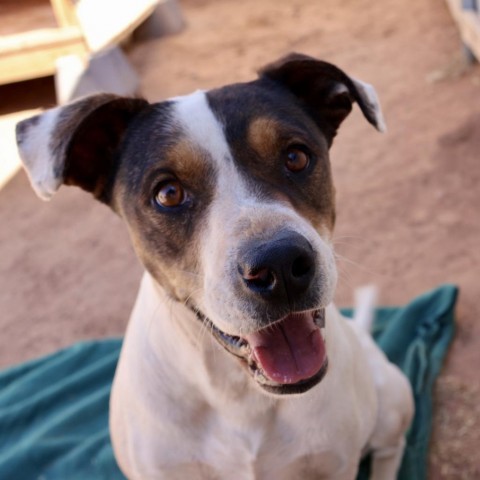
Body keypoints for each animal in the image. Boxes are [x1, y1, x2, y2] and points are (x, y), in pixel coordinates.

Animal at [15, 54, 412, 478]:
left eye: (296, 157)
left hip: (392, 399)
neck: (238, 393)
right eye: (168, 194)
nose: (280, 264)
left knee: (391, 448)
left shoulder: (335, 465)